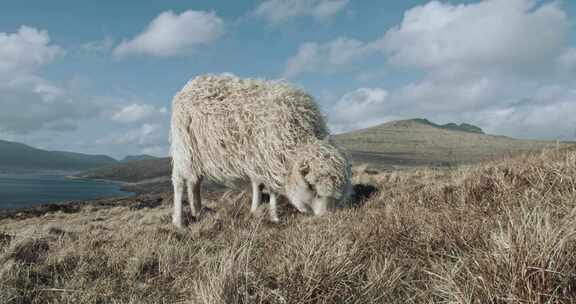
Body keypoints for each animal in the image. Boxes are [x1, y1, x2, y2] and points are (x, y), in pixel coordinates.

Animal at [169, 73, 354, 227]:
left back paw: (198, 211)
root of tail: (188, 87)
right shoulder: (268, 157)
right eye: (313, 189)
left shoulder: (262, 158)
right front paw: (273, 216)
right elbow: (270, 189)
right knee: (179, 182)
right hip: (183, 147)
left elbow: (258, 184)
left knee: (194, 182)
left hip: (197, 155)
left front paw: (257, 211)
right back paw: (178, 221)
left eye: (336, 194)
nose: (325, 218)